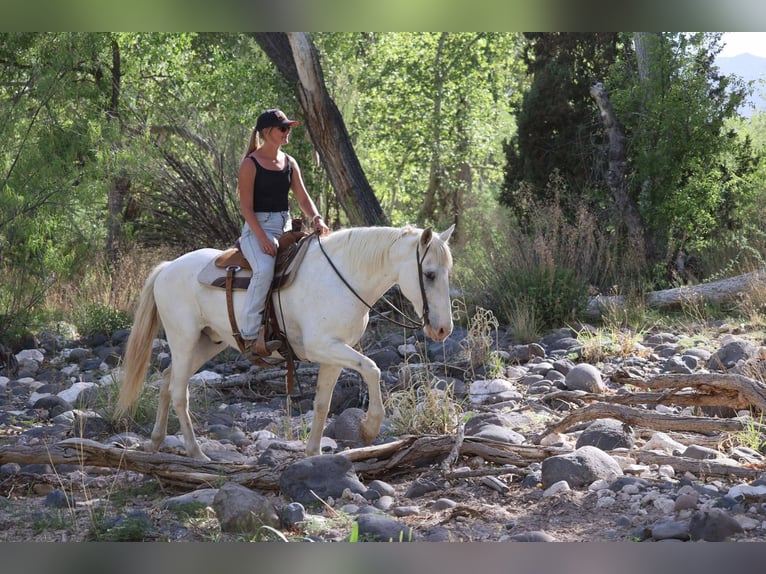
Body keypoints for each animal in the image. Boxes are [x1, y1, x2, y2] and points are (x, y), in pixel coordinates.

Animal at [116, 224, 455, 461]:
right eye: (429, 274)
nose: (442, 330)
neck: (343, 278)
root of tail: (167, 268)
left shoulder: (334, 353)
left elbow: (322, 402)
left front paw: (314, 453)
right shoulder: (322, 346)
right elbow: (372, 368)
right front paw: (369, 428)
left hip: (208, 342)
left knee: (166, 379)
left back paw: (157, 441)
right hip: (184, 339)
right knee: (178, 391)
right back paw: (196, 452)